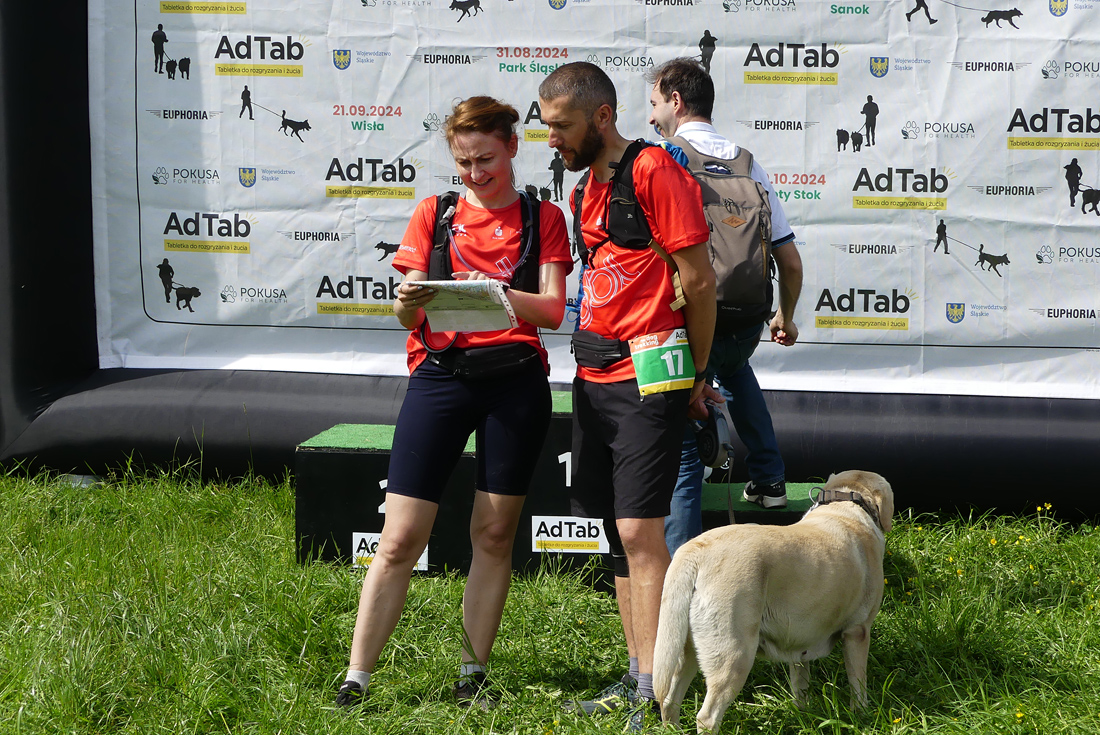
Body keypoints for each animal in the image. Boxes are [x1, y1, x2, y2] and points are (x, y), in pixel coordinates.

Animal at [653, 470, 894, 733]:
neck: (845, 504)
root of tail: (695, 551)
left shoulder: (800, 643)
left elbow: (801, 685)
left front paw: (804, 715)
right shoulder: (857, 631)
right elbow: (858, 681)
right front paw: (862, 715)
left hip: (685, 649)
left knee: (669, 701)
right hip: (734, 656)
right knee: (707, 717)